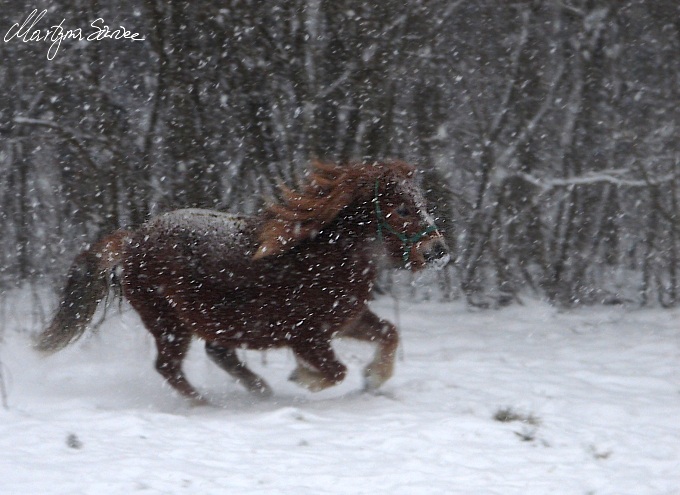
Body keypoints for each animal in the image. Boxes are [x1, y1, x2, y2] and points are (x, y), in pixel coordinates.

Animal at [37, 161, 452, 404]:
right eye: (402, 208)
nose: (438, 250)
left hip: (212, 320)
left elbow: (389, 333)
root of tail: (133, 239)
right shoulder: (307, 336)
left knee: (217, 354)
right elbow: (335, 371)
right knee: (169, 366)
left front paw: (374, 378)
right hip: (169, 322)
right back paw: (204, 402)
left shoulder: (347, 319)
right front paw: (304, 378)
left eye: (422, 202)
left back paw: (259, 390)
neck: (326, 257)